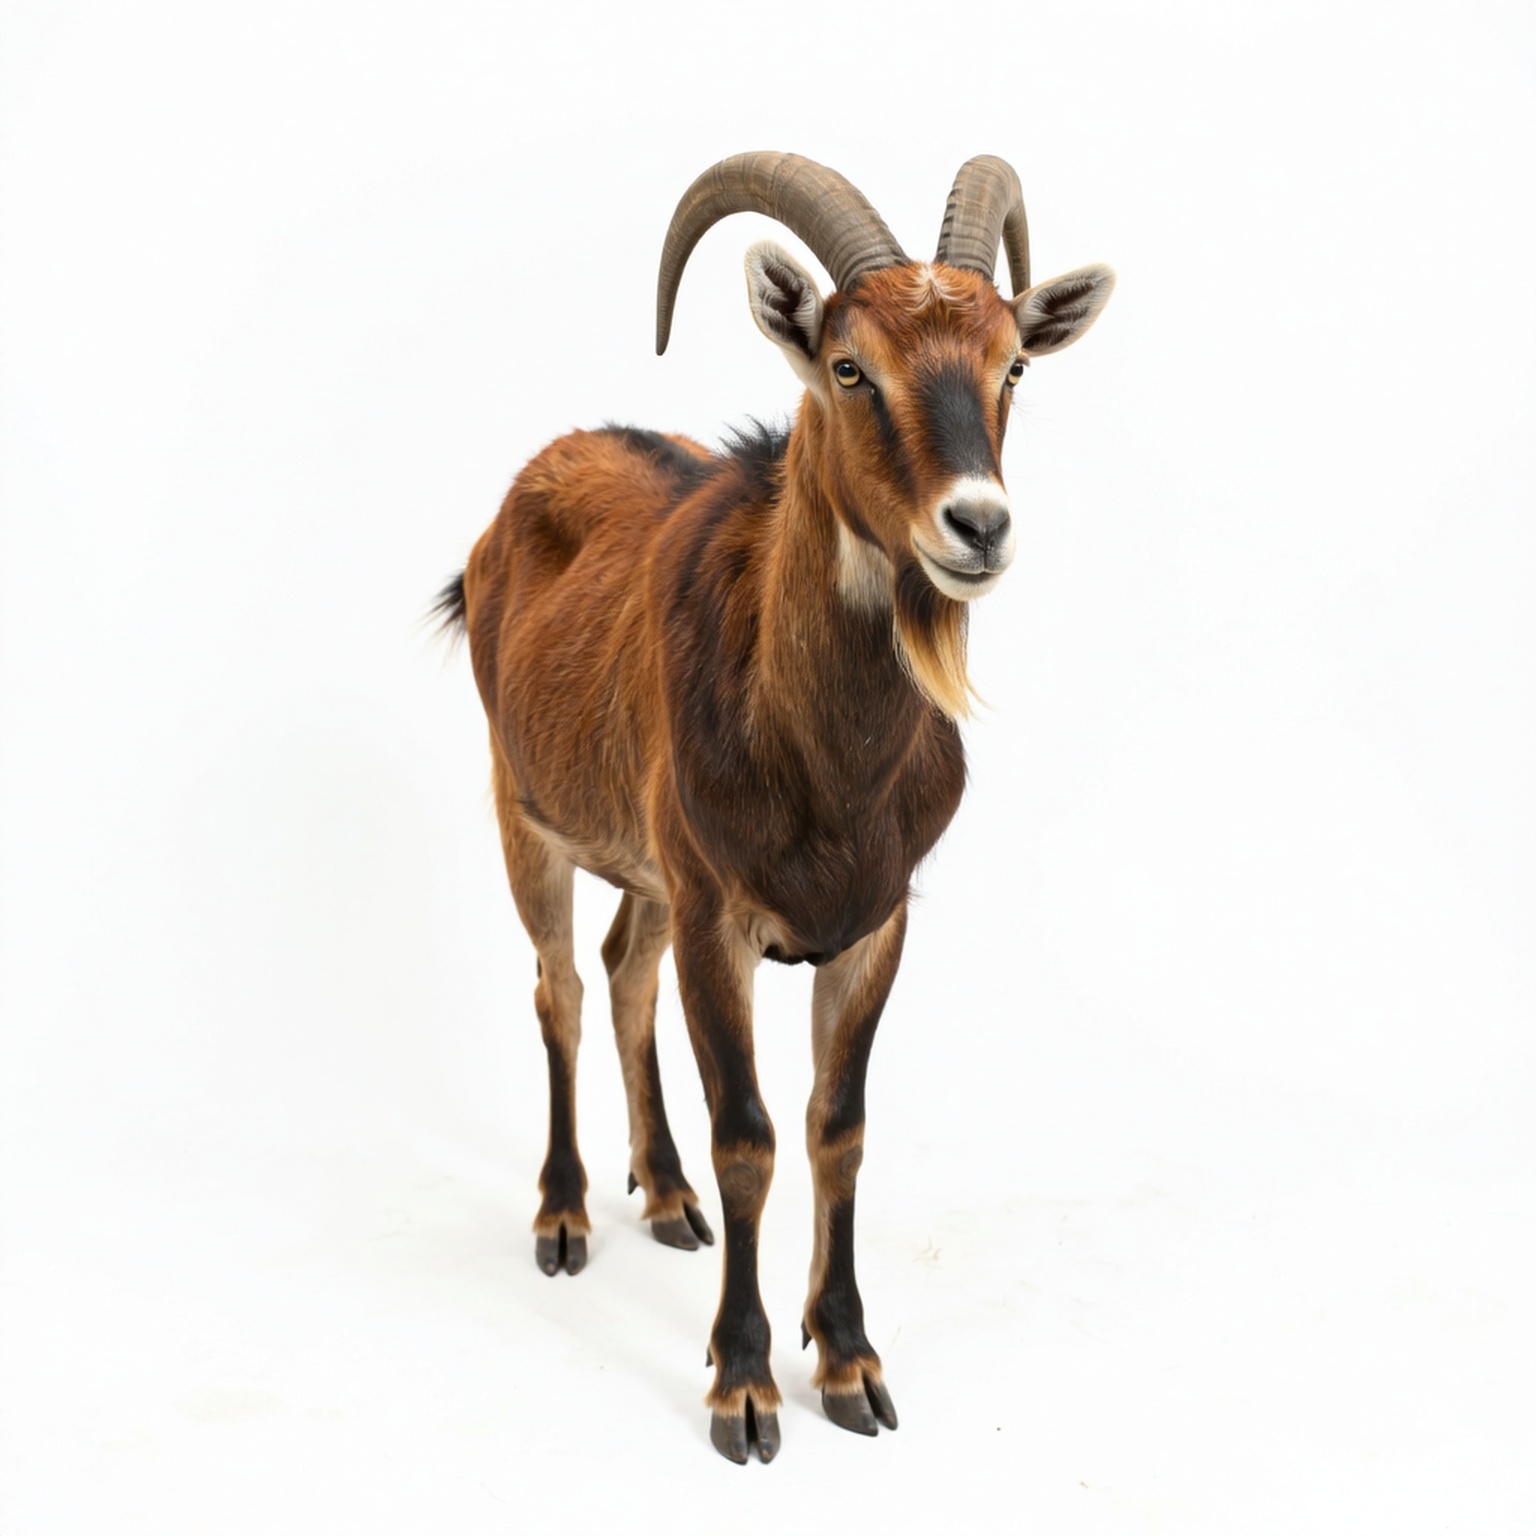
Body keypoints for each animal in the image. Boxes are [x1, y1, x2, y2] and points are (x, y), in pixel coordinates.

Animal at [435, 153, 1114, 1463]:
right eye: (850, 366)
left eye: (1012, 363)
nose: (978, 526)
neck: (827, 765)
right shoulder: (721, 921)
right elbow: (747, 1133)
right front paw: (743, 1386)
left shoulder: (870, 924)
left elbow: (835, 1126)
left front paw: (847, 1361)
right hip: (522, 811)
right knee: (560, 985)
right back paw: (565, 1217)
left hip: (649, 866)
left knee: (621, 968)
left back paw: (664, 1197)